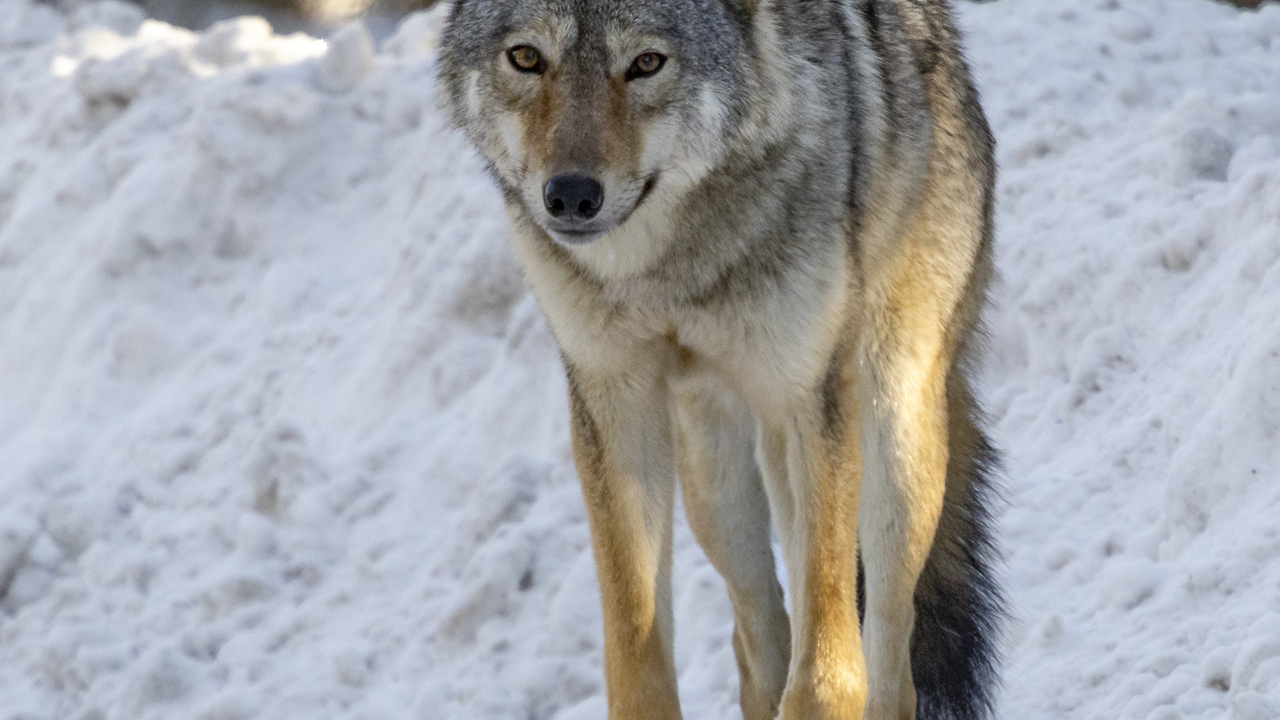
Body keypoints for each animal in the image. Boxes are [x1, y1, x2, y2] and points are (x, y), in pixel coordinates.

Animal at [439, 1, 1002, 718]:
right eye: (526, 58)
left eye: (647, 63)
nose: (569, 195)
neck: (670, 272)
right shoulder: (614, 397)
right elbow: (637, 653)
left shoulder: (811, 398)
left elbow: (830, 674)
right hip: (716, 489)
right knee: (758, 638)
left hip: (893, 439)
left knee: (886, 656)